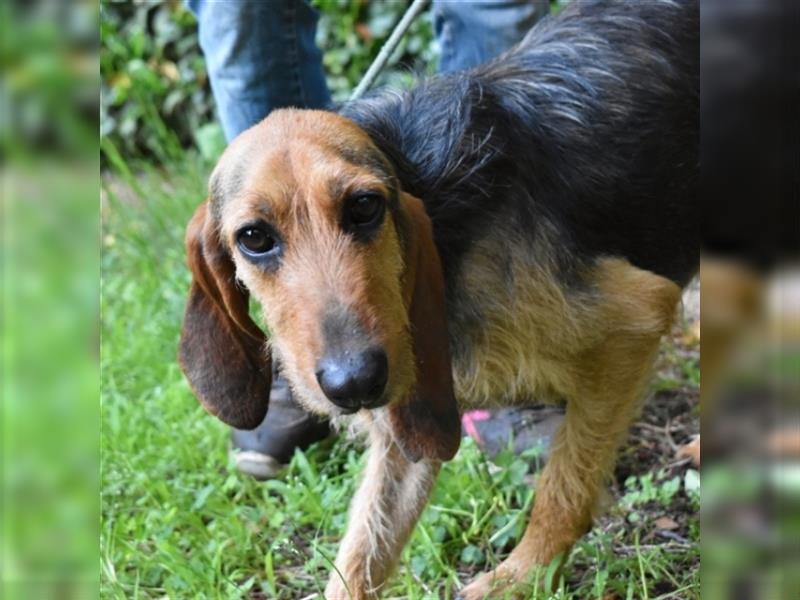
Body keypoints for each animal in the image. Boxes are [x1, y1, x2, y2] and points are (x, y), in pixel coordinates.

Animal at [178, 2, 696, 596]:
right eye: (254, 238)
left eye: (365, 206)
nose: (354, 382)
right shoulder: (404, 421)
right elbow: (361, 554)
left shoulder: (632, 321)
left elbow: (563, 487)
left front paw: (519, 578)